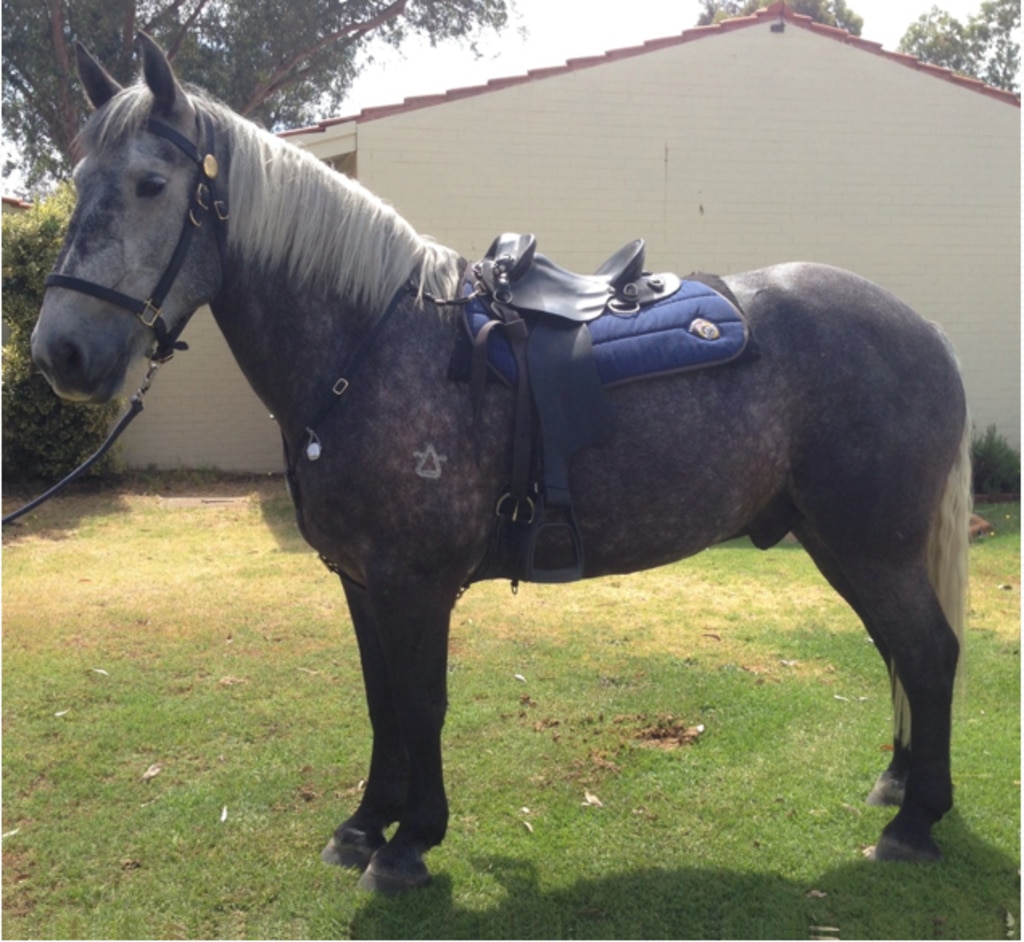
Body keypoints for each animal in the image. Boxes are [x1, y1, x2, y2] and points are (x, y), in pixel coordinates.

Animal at [28, 35, 970, 888]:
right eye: (78, 183)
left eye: (152, 185)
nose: (60, 353)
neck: (371, 347)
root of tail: (924, 331)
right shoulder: (361, 579)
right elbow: (380, 700)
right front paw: (365, 824)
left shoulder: (414, 581)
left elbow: (421, 703)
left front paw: (410, 841)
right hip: (838, 542)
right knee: (898, 649)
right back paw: (898, 783)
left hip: (872, 545)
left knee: (927, 652)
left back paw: (916, 822)